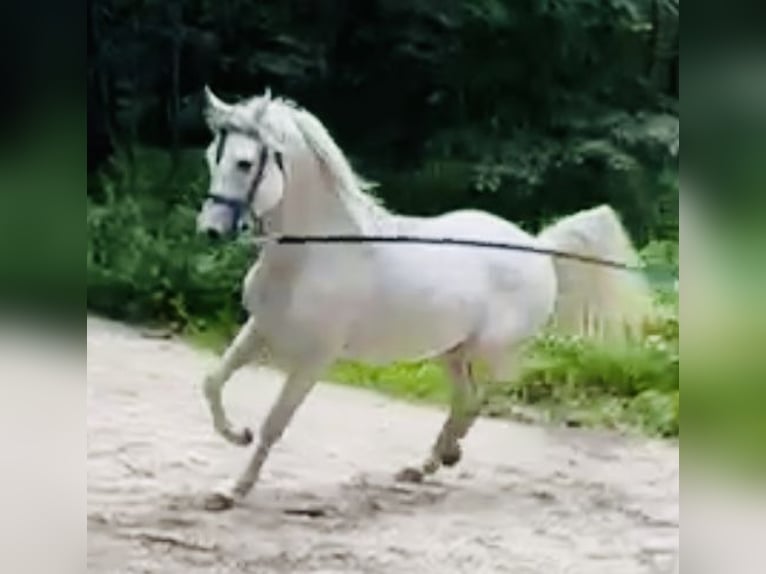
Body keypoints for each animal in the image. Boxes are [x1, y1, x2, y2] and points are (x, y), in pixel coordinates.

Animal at [194, 88, 656, 510]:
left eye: (244, 163)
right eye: (211, 157)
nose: (210, 231)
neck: (313, 255)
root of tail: (538, 246)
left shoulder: (314, 358)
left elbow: (275, 423)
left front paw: (232, 490)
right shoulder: (260, 328)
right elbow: (212, 382)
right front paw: (236, 435)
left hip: (489, 350)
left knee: (480, 398)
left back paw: (445, 455)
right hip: (450, 350)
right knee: (465, 400)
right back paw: (426, 465)